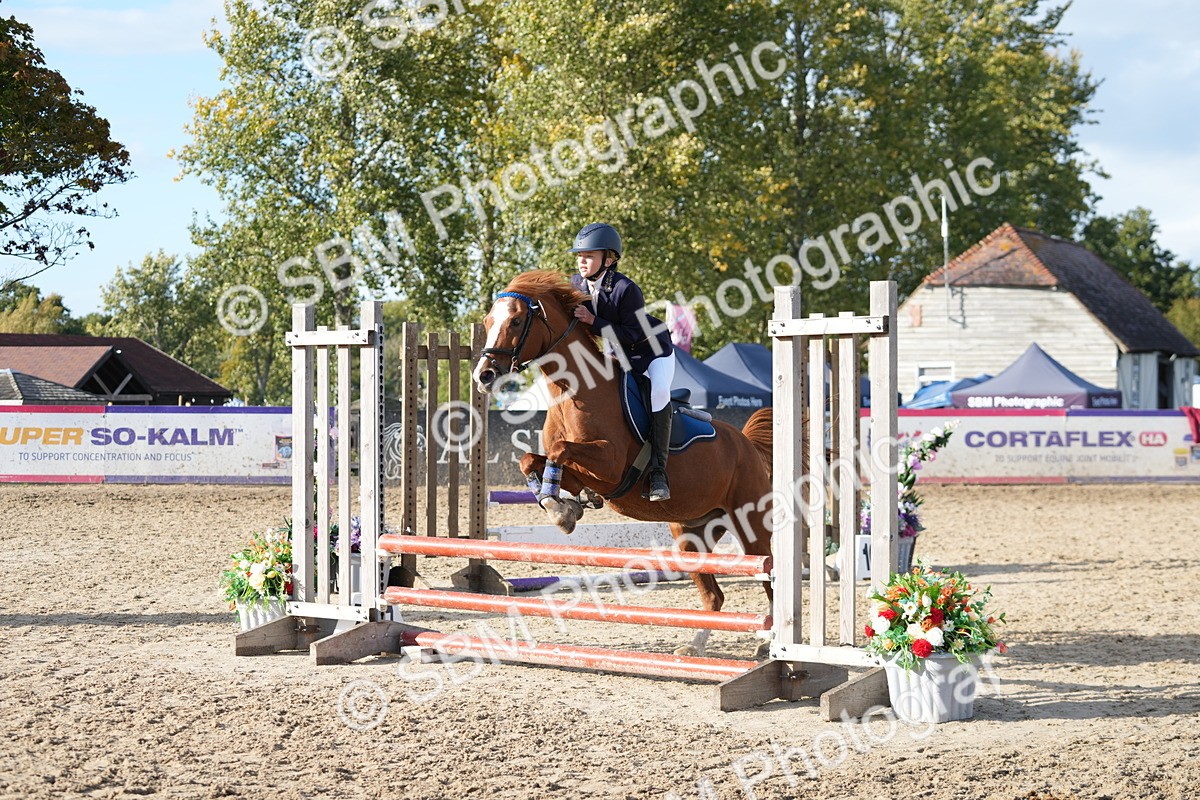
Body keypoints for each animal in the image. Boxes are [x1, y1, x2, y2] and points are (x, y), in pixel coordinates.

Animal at [472, 270, 778, 657]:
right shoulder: (583, 474)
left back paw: (768, 643)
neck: (573, 391)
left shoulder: (609, 465)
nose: (483, 375)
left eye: (515, 321)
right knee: (714, 596)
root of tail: (746, 444)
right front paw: (564, 507)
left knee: (770, 579)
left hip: (751, 524)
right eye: (486, 322)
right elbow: (532, 460)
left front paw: (562, 511)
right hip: (692, 532)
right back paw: (693, 647)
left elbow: (560, 451)